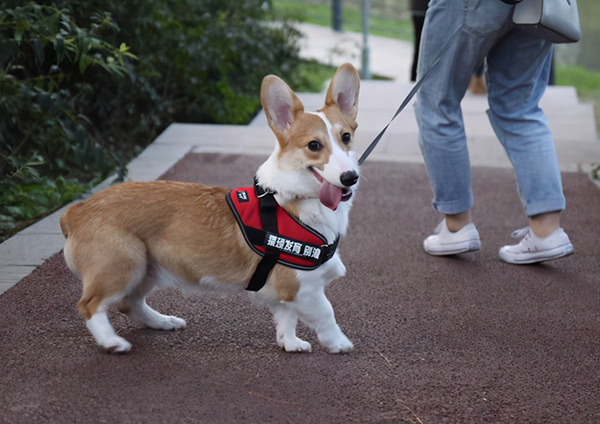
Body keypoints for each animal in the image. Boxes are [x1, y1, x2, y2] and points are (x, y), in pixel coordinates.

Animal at [61, 63, 360, 354]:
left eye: (346, 137)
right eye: (314, 145)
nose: (350, 177)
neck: (298, 199)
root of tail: (76, 212)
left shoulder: (287, 290)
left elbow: (287, 318)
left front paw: (290, 343)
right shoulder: (302, 287)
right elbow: (326, 314)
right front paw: (339, 343)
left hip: (147, 268)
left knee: (129, 303)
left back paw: (162, 322)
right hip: (125, 263)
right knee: (90, 305)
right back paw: (111, 342)